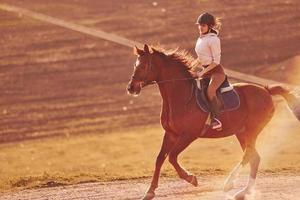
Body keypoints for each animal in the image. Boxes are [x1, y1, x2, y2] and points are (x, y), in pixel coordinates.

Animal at [125, 44, 298, 200]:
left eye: (144, 65)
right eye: (135, 65)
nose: (131, 88)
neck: (181, 96)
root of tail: (266, 90)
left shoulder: (189, 135)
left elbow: (172, 157)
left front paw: (191, 179)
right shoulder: (171, 134)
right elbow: (160, 159)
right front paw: (150, 191)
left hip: (251, 131)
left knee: (249, 156)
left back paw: (231, 185)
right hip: (241, 133)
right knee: (254, 158)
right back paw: (243, 191)